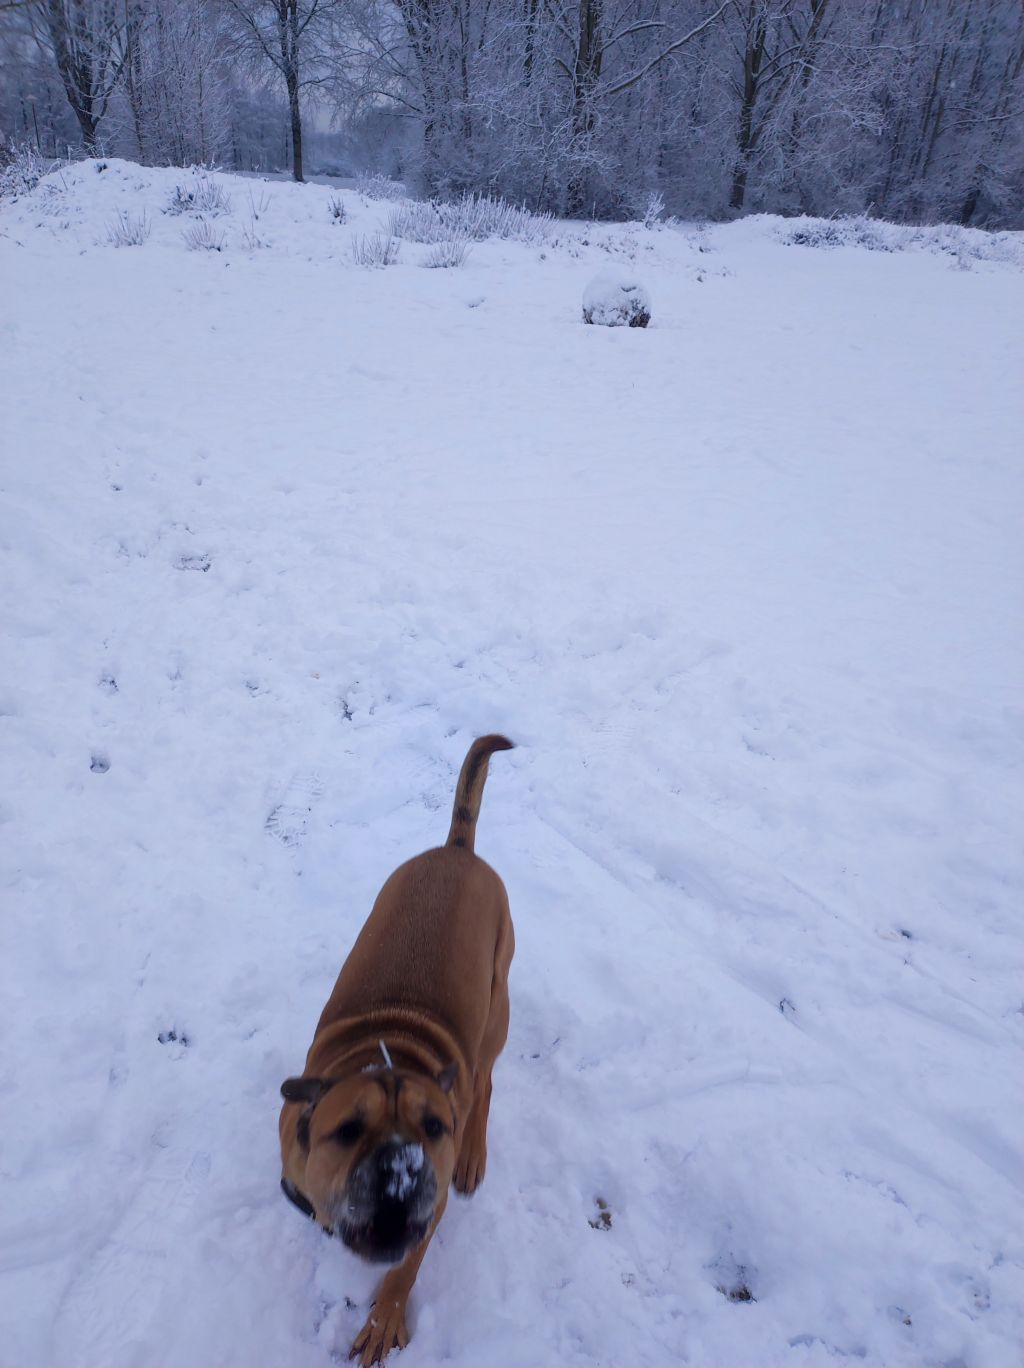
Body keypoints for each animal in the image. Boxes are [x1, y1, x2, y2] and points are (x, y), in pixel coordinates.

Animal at [279, 735, 515, 1365]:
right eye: (347, 1130)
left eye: (433, 1127)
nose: (399, 1173)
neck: (389, 1052)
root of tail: (456, 850)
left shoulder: (428, 1215)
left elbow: (404, 1270)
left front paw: (384, 1319)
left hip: (497, 1005)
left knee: (485, 1081)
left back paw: (474, 1152)